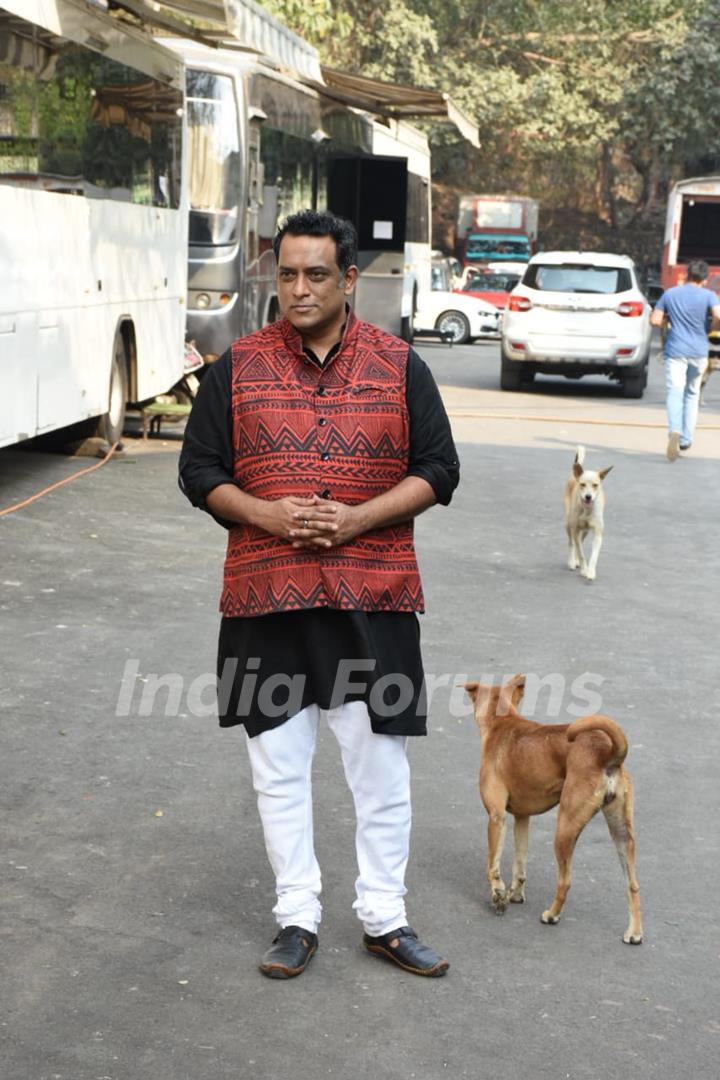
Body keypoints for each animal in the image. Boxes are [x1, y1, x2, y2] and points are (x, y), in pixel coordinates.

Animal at [464, 673, 643, 946]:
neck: (502, 721)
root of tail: (608, 753)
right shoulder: (522, 818)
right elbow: (519, 864)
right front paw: (515, 894)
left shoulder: (496, 817)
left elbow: (492, 866)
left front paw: (498, 895)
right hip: (622, 835)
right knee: (632, 885)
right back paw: (634, 932)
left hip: (565, 829)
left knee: (565, 881)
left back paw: (551, 914)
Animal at [561, 444, 613, 583]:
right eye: (582, 484)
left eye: (595, 485)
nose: (588, 497)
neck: (586, 510)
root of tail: (575, 474)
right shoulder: (574, 529)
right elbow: (581, 552)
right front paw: (584, 570)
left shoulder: (598, 534)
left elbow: (593, 556)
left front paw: (590, 572)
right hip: (568, 524)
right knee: (572, 543)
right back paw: (572, 561)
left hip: (585, 530)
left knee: (580, 539)